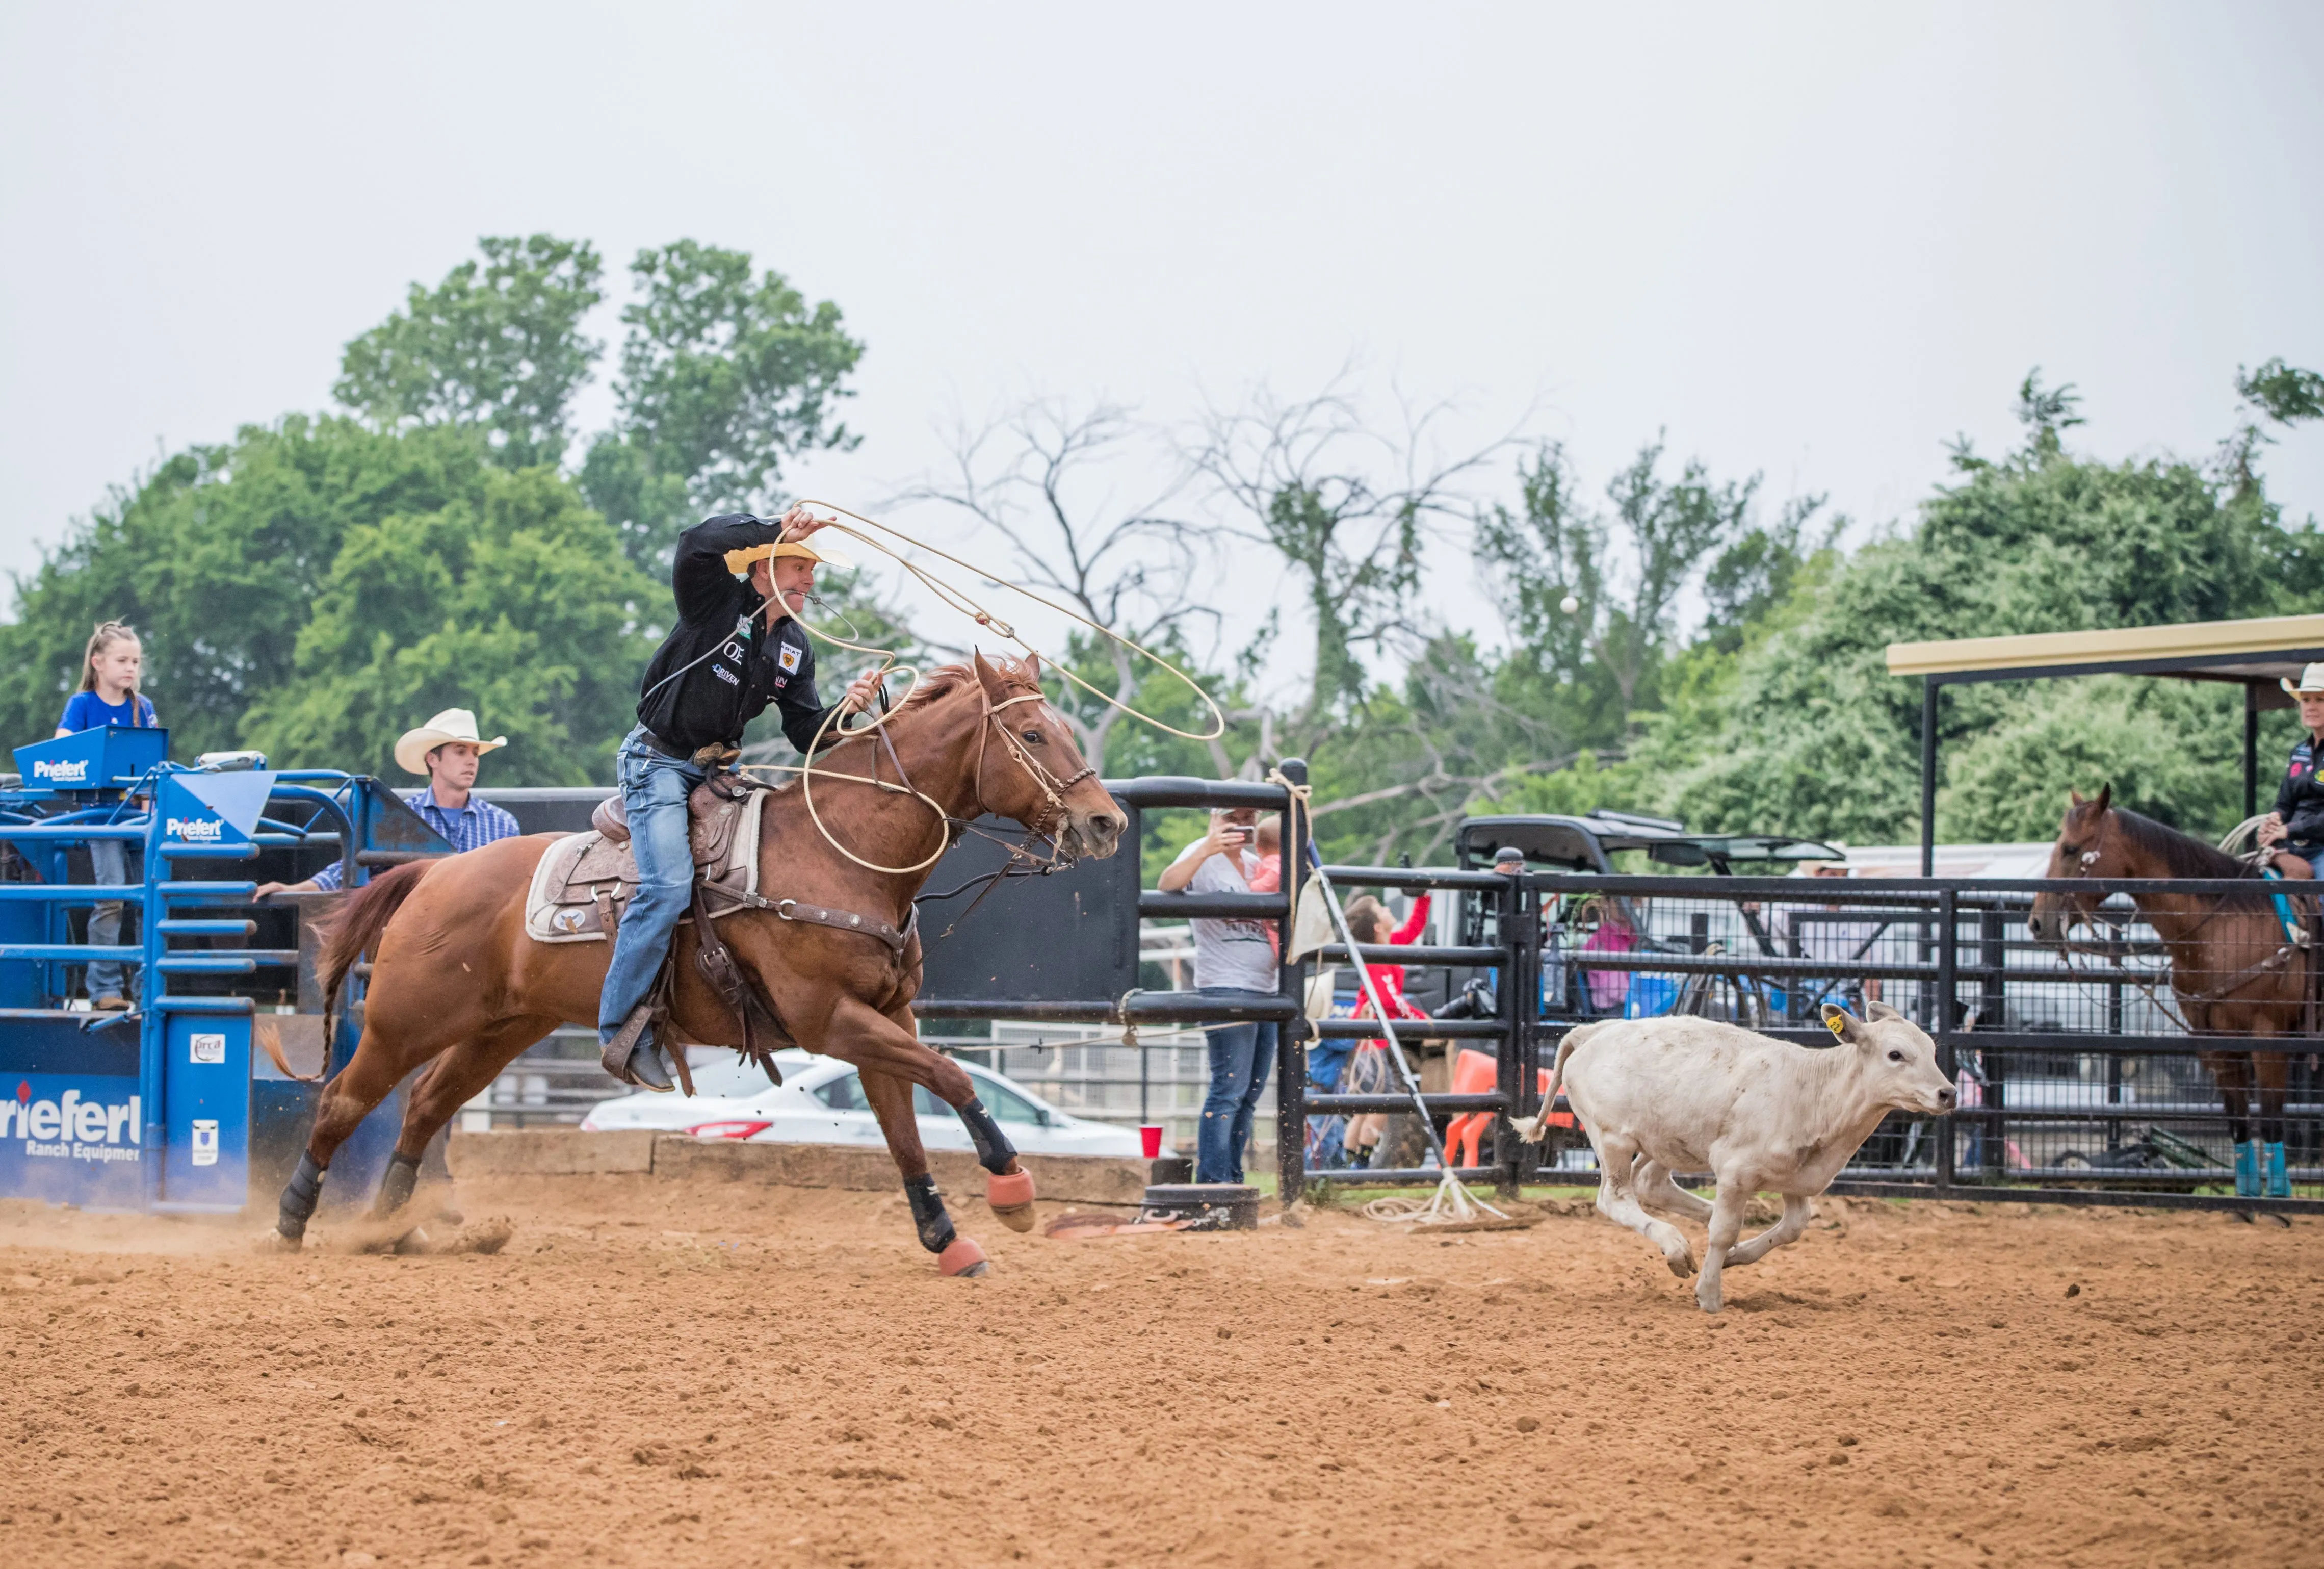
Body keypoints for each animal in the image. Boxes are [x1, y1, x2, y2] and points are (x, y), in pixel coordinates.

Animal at [1514, 1002, 1955, 1313]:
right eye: (1895, 1054)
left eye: (1932, 1050)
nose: (1948, 1093)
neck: (1815, 1090)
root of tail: (1593, 1031)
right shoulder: (1735, 1171)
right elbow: (1724, 1231)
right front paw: (1709, 1295)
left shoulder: (1797, 1179)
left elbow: (1792, 1227)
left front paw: (1734, 1257)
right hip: (1613, 1138)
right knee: (1616, 1197)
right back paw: (1675, 1247)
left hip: (1668, 1140)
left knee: (1651, 1183)